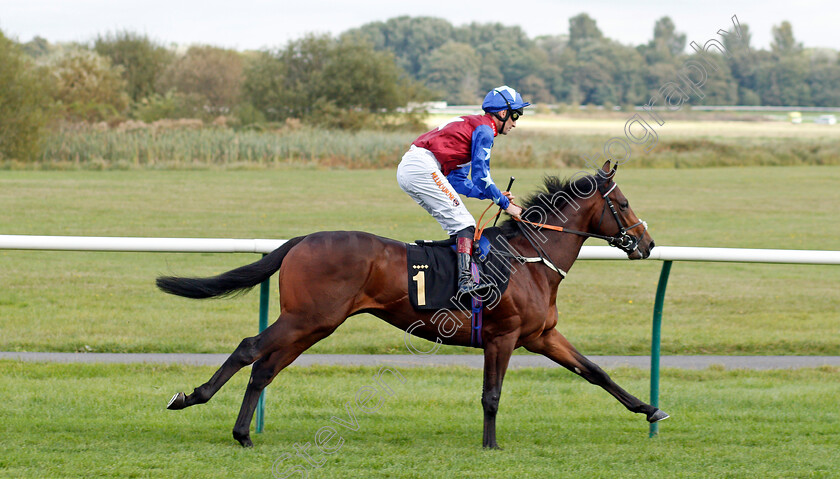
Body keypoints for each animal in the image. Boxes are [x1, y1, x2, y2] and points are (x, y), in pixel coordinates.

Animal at [159, 162, 668, 450]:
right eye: (623, 203)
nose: (647, 243)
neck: (528, 259)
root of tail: (303, 239)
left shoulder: (541, 335)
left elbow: (595, 371)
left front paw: (651, 410)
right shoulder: (502, 337)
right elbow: (491, 395)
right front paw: (490, 446)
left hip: (313, 324)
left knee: (265, 367)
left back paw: (243, 434)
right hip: (310, 317)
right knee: (250, 347)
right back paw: (192, 398)